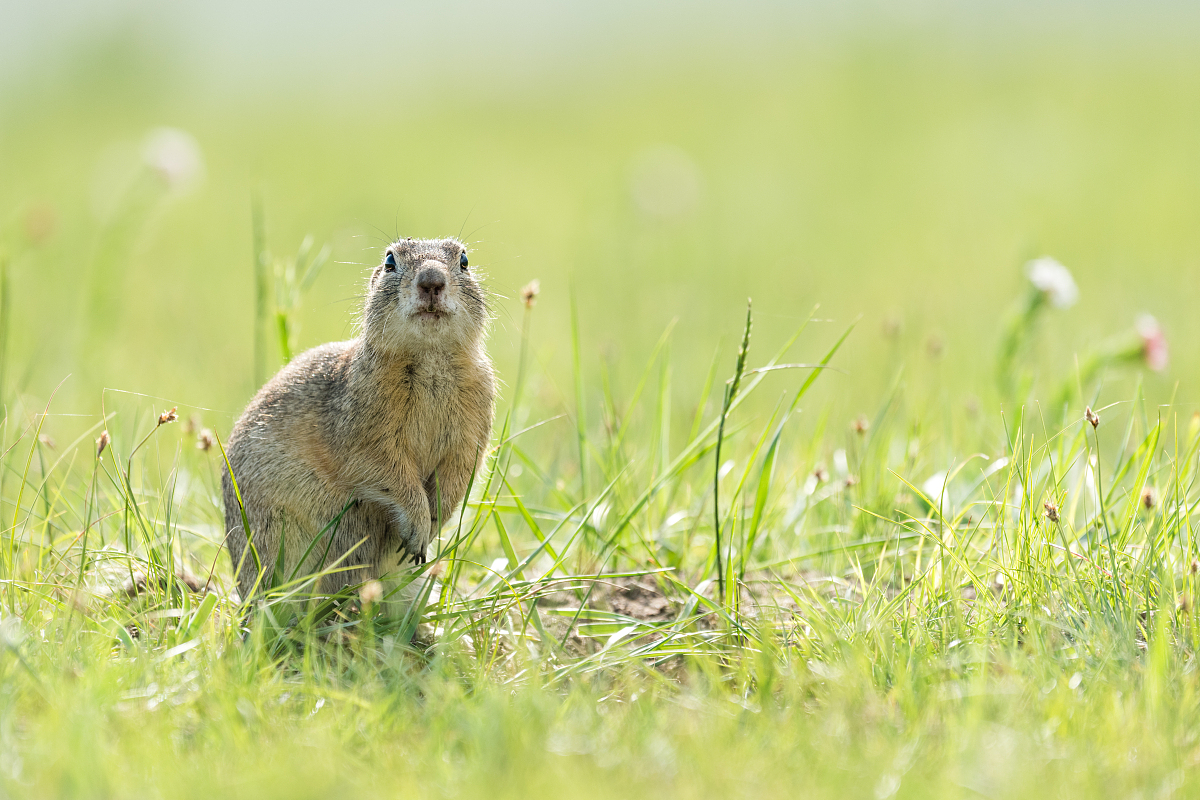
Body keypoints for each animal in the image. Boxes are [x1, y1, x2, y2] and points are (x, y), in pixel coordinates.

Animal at [223, 237, 494, 599]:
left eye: (464, 260)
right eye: (390, 261)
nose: (432, 280)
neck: (430, 356)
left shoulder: (473, 426)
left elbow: (459, 474)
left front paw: (433, 523)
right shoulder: (364, 429)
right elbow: (387, 471)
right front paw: (419, 524)